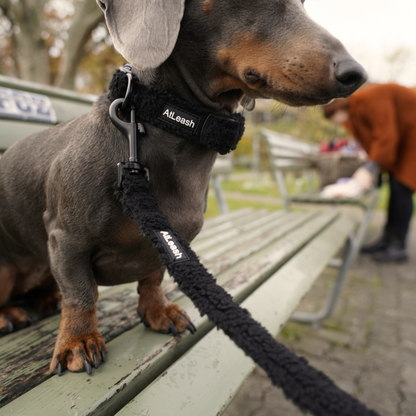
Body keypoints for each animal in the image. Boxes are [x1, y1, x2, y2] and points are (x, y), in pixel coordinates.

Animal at [0, 0, 366, 376]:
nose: (355, 74)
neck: (165, 121)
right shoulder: (66, 241)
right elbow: (81, 293)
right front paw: (78, 340)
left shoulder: (165, 236)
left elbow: (152, 278)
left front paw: (158, 311)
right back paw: (11, 314)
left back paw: (46, 298)